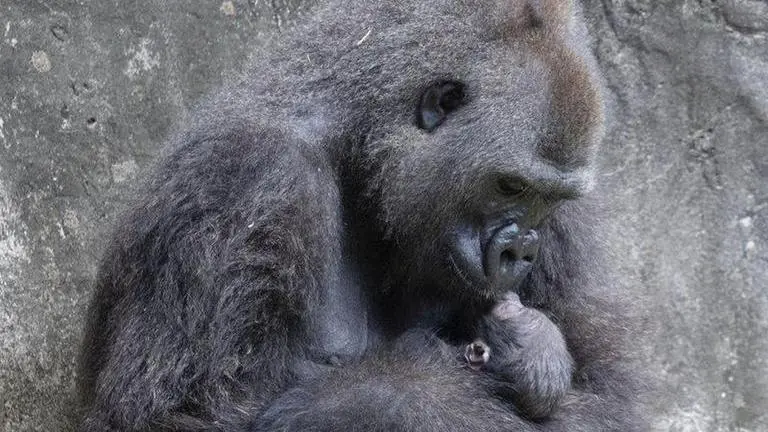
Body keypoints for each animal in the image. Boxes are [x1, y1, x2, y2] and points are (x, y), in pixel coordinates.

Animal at [77, 0, 648, 431]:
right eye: (510, 186)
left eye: (548, 200)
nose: (521, 249)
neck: (360, 142)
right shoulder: (247, 175)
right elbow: (181, 414)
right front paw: (407, 394)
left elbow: (606, 399)